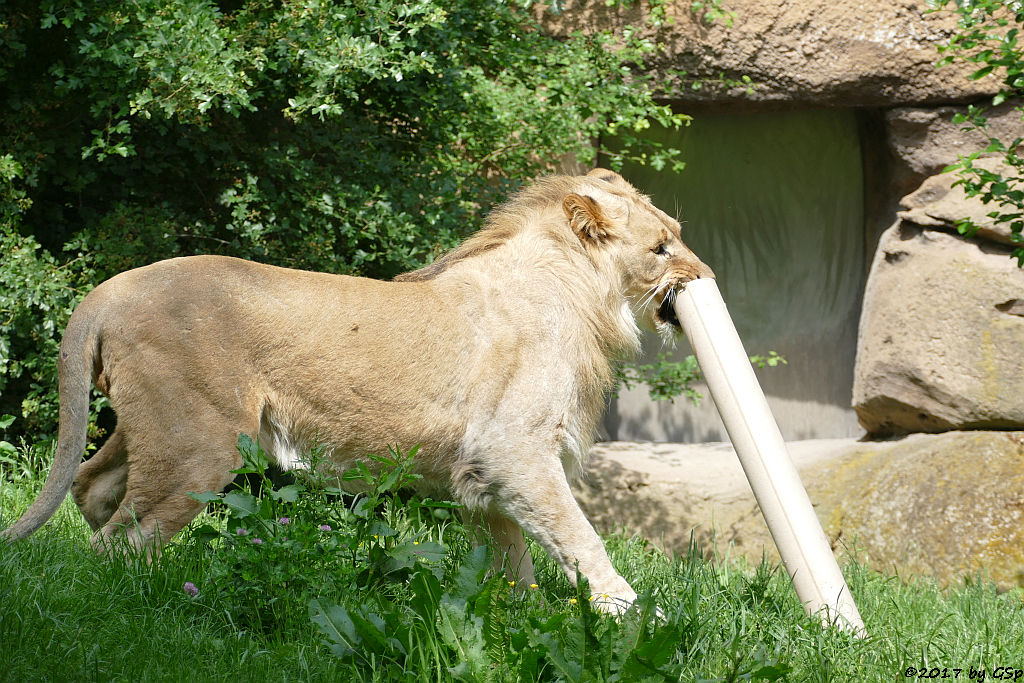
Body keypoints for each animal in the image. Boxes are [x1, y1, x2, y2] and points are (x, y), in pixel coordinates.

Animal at [2, 166, 712, 614]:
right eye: (660, 247)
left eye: (678, 232)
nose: (704, 275)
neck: (586, 293)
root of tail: (106, 291)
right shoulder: (517, 452)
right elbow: (577, 535)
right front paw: (627, 612)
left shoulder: (481, 472)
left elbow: (512, 562)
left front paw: (517, 620)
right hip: (199, 448)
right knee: (119, 543)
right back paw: (143, 606)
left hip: (160, 431)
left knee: (93, 487)